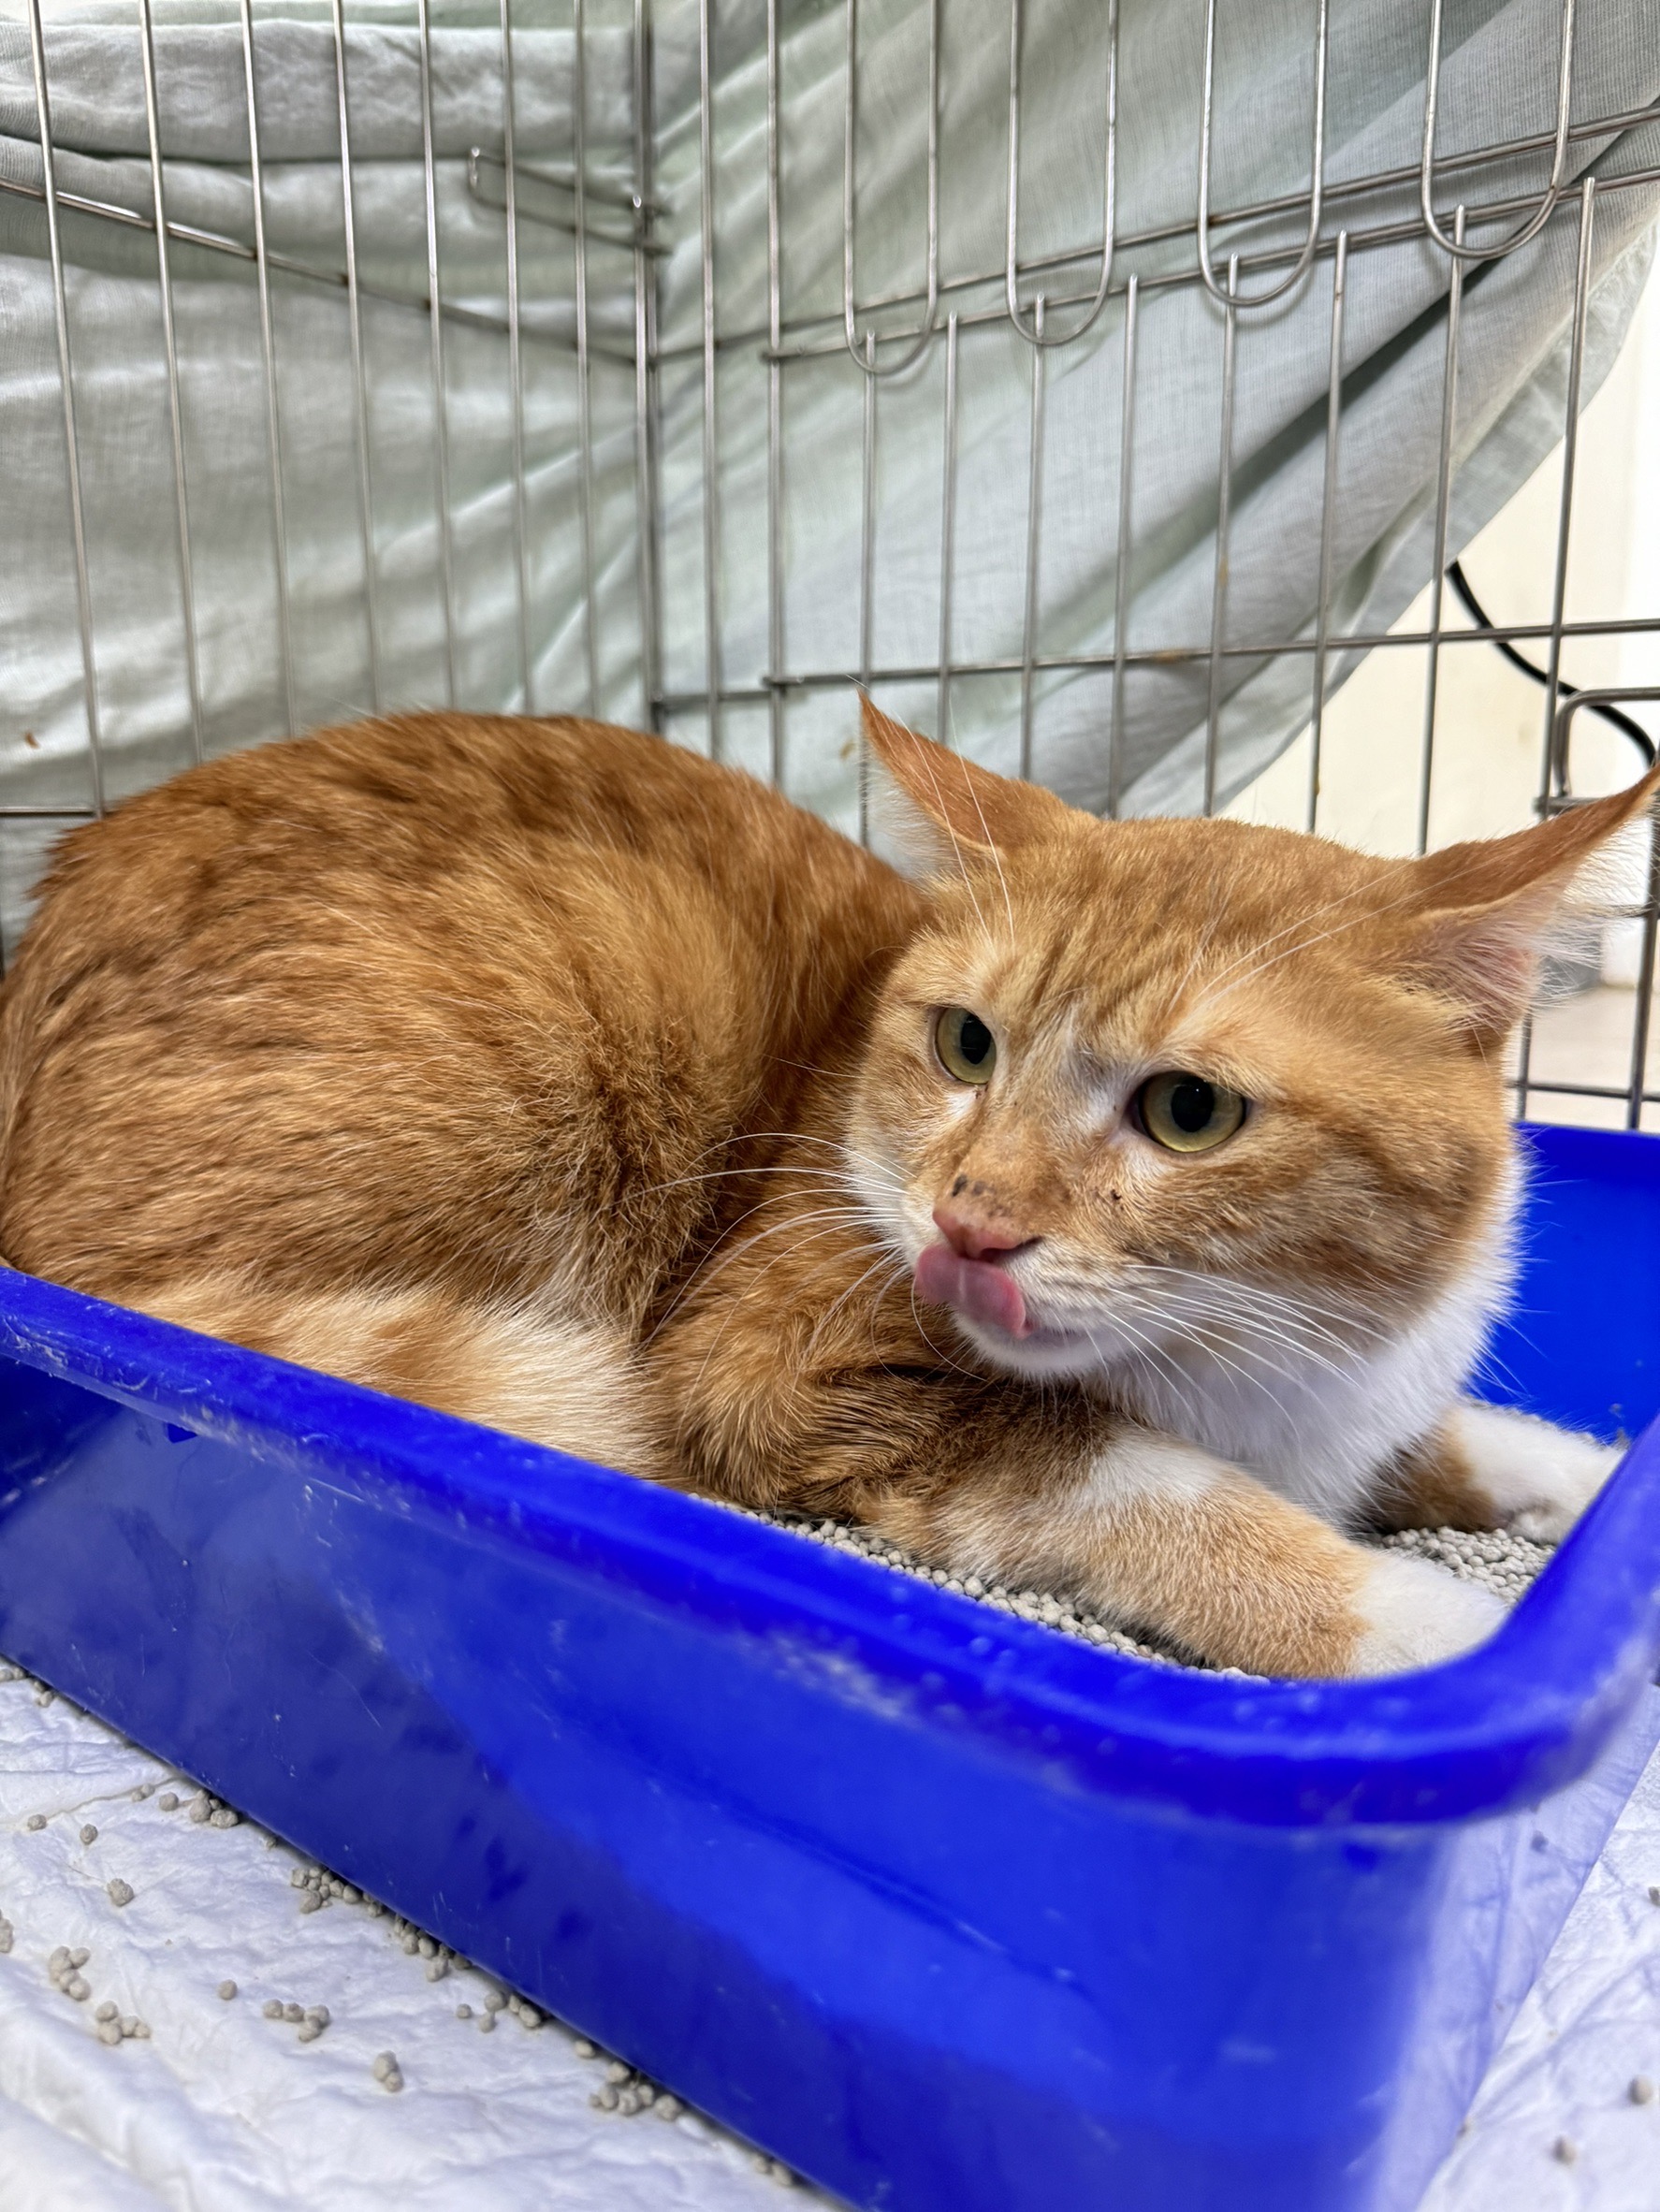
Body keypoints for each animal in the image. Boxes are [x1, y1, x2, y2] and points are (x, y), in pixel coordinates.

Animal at [0, 701, 1652, 1679]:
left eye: (1189, 1112)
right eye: (966, 1043)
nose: (969, 1219)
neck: (1255, 1369)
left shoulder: (1373, 1397)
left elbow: (1461, 1443)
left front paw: (1568, 1480)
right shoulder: (776, 1373)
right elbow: (1144, 1485)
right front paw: (1414, 1617)